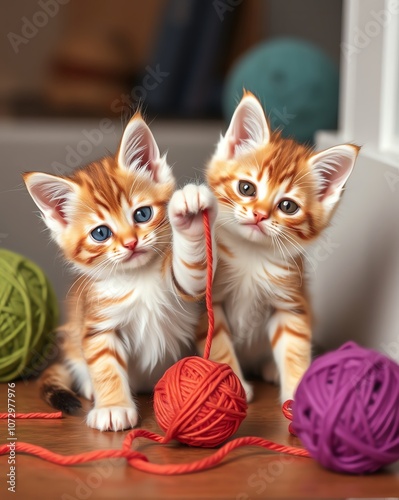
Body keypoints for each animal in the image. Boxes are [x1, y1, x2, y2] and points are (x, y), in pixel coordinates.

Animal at [23, 113, 217, 430]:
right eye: (101, 233)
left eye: (142, 214)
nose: (130, 243)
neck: (137, 277)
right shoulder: (98, 325)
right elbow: (105, 366)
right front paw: (113, 407)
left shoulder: (185, 287)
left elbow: (191, 275)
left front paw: (187, 213)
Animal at [197, 91, 360, 402]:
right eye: (246, 188)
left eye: (288, 206)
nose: (259, 215)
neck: (251, 254)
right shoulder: (210, 301)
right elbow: (218, 341)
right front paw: (230, 383)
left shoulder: (291, 302)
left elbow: (295, 346)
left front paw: (297, 391)